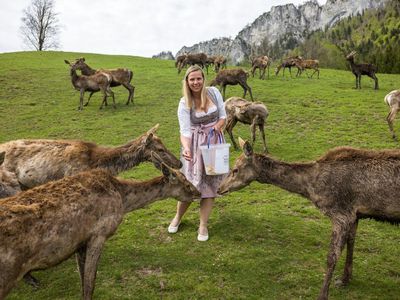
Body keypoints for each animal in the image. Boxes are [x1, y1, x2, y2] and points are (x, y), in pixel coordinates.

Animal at [0, 152, 200, 300]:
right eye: (185, 183)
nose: (198, 192)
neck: (123, 199)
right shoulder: (99, 234)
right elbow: (90, 284)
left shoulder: (79, 243)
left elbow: (83, 282)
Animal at [219, 139, 400, 300]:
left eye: (235, 169)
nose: (220, 188)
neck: (311, 188)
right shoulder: (355, 214)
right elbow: (351, 244)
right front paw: (344, 280)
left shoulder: (341, 214)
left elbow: (331, 257)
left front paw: (323, 295)